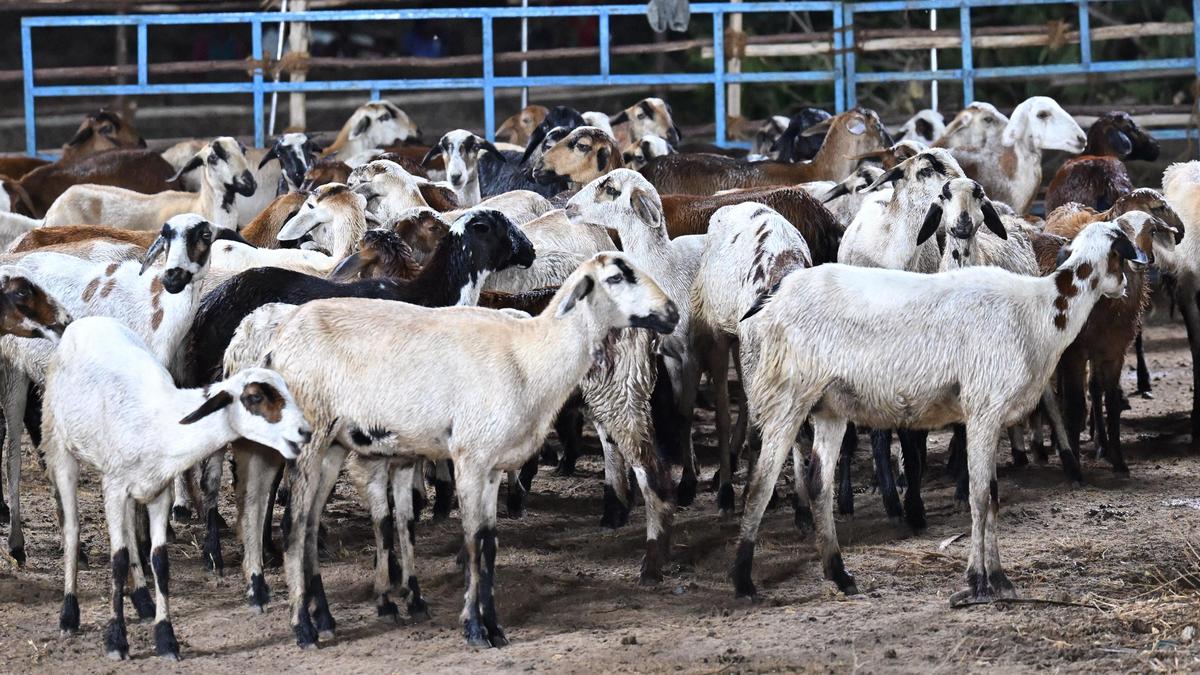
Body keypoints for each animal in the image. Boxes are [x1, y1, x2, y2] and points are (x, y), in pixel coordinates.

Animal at [1, 214, 221, 565]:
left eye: (203, 235)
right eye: (166, 235)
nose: (173, 277)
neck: (156, 311)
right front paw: (141, 545)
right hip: (12, 371)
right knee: (12, 455)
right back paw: (17, 545)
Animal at [44, 315, 310, 661]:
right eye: (254, 398)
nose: (304, 432)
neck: (163, 423)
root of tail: (86, 322)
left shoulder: (159, 491)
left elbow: (159, 561)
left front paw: (165, 638)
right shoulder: (113, 487)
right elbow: (117, 560)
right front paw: (116, 640)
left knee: (129, 532)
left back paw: (143, 601)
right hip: (60, 447)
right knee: (73, 529)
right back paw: (69, 614)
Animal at [265, 252, 678, 649]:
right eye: (615, 278)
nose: (672, 312)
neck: (530, 357)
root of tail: (277, 342)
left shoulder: (492, 466)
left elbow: (489, 544)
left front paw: (494, 628)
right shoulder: (469, 458)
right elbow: (473, 541)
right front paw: (474, 628)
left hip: (333, 445)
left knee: (310, 521)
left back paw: (324, 619)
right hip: (309, 439)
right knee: (294, 523)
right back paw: (303, 628)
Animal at [734, 220, 1148, 603]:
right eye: (1123, 254)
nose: (1127, 288)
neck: (1039, 310)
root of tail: (775, 295)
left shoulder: (987, 416)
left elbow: (990, 496)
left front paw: (994, 579)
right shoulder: (984, 409)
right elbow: (981, 497)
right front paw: (981, 582)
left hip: (830, 406)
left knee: (820, 484)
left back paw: (840, 575)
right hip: (787, 394)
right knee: (761, 483)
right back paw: (743, 581)